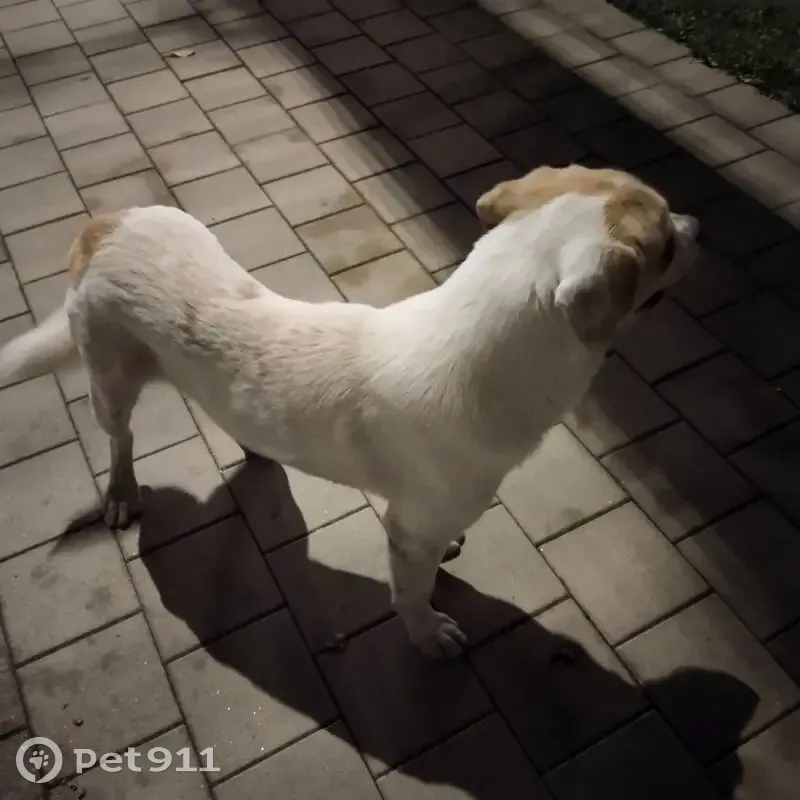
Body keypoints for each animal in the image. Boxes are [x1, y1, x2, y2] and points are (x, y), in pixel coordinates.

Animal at [0, 164, 699, 658]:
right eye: (666, 244)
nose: (699, 225)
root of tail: (105, 224)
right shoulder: (409, 531)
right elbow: (412, 593)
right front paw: (427, 635)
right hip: (109, 382)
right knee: (119, 441)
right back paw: (121, 492)